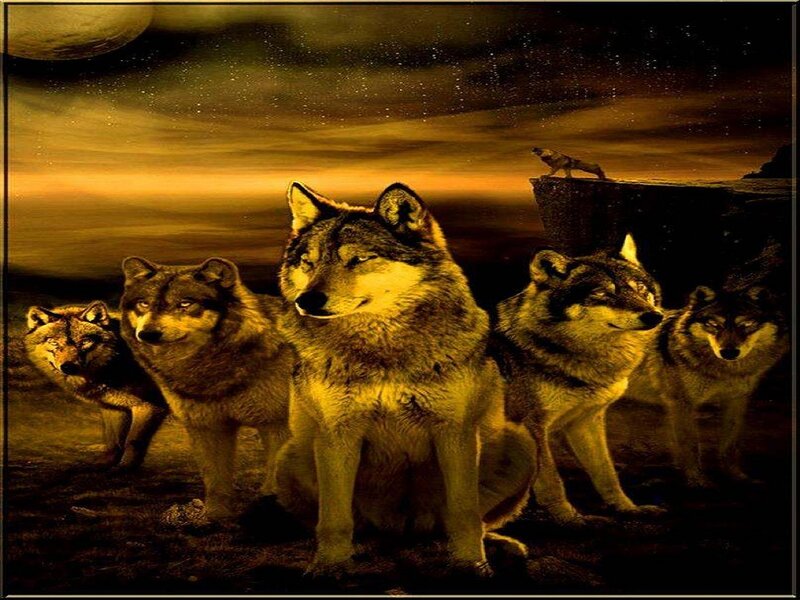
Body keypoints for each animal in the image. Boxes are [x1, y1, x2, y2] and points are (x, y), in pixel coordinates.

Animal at [25, 301, 168, 471]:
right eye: (53, 342)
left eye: (84, 342)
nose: (68, 367)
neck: (118, 360)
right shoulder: (113, 407)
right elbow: (113, 442)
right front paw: (105, 464)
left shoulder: (150, 406)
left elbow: (133, 441)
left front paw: (125, 468)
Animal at [119, 257, 296, 520]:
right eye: (144, 303)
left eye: (185, 303)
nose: (148, 334)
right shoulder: (208, 427)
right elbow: (215, 480)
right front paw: (215, 518)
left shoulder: (277, 425)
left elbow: (277, 478)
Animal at [274, 182, 536, 576]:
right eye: (309, 262)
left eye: (358, 259)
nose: (308, 300)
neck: (382, 351)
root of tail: (403, 531)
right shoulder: (338, 434)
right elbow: (334, 518)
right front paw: (327, 568)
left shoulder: (455, 431)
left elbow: (464, 511)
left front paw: (470, 565)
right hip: (291, 456)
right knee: (355, 524)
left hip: (522, 445)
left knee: (463, 522)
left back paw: (497, 545)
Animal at [493, 235, 664, 526]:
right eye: (602, 294)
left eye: (640, 289)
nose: (654, 316)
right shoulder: (531, 425)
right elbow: (551, 480)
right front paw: (569, 520)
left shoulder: (586, 421)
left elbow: (606, 473)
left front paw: (628, 509)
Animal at [627, 285, 789, 487]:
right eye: (714, 324)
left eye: (746, 324)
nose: (729, 352)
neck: (726, 371)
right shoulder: (682, 405)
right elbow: (690, 445)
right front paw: (698, 482)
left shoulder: (736, 401)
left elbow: (730, 443)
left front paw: (737, 477)